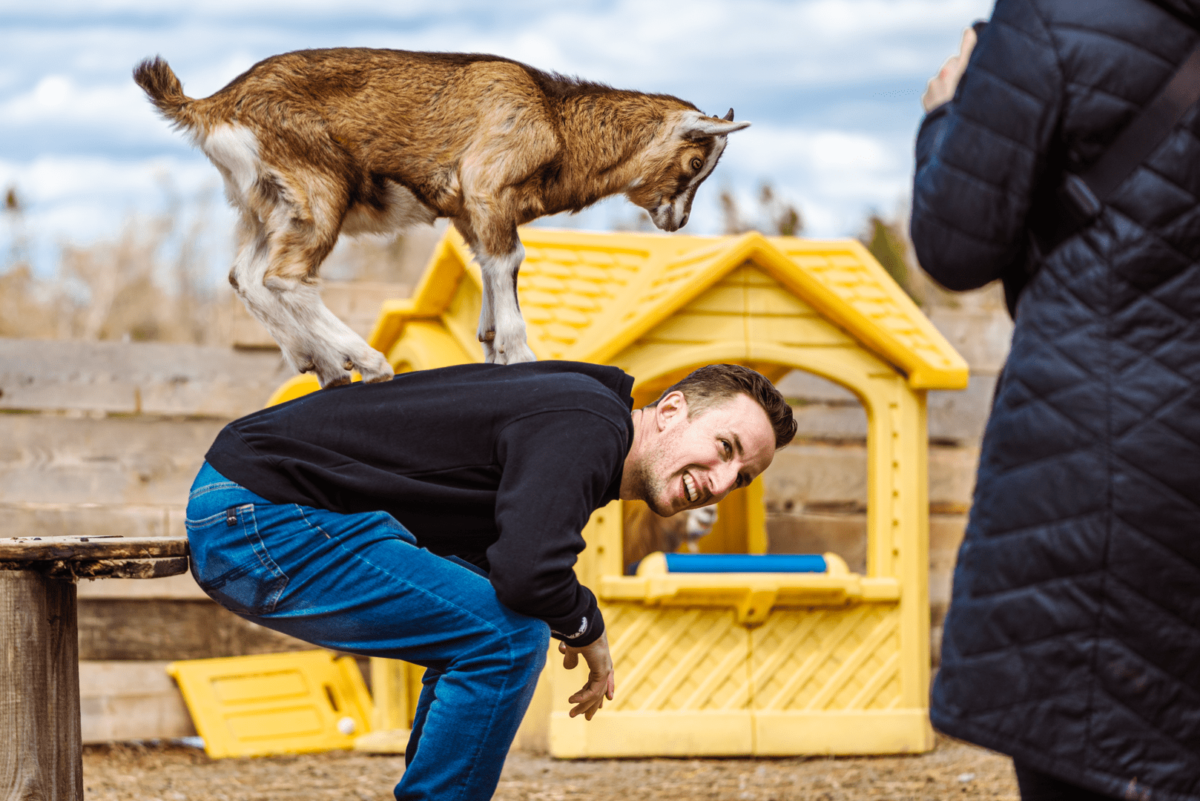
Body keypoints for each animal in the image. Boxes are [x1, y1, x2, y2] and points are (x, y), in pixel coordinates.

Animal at [133, 48, 748, 386]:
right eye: (696, 161)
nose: (677, 221)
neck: (555, 118)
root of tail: (213, 104)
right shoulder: (488, 186)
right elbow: (510, 260)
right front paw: (522, 355)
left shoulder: (470, 212)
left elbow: (493, 271)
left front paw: (493, 346)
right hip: (318, 189)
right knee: (286, 277)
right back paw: (369, 361)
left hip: (267, 205)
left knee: (246, 276)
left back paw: (323, 362)